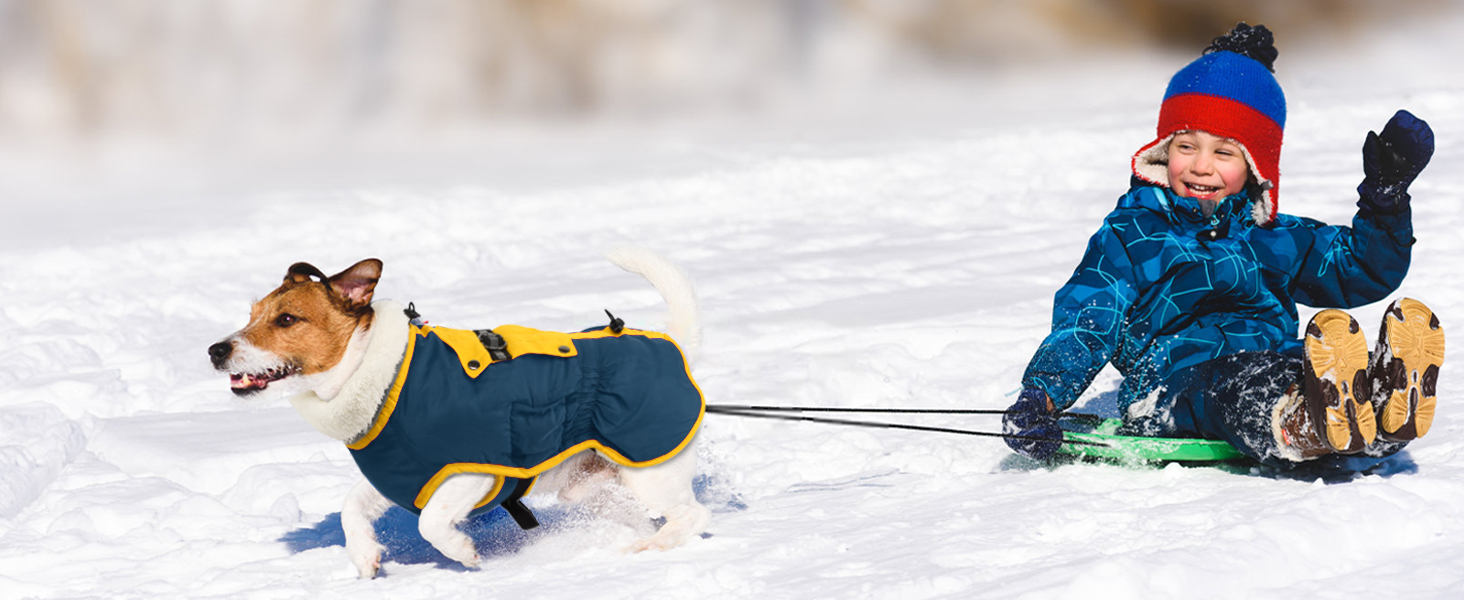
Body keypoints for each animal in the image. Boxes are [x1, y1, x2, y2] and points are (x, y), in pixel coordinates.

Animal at [207, 248, 708, 576]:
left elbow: (431, 523)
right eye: (251, 315)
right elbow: (352, 507)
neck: (382, 376)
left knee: (691, 516)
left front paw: (463, 551)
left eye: (287, 320)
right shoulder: (400, 475)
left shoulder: (472, 472)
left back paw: (648, 549)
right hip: (592, 488)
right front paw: (365, 556)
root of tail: (673, 344)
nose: (215, 350)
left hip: (650, 469)